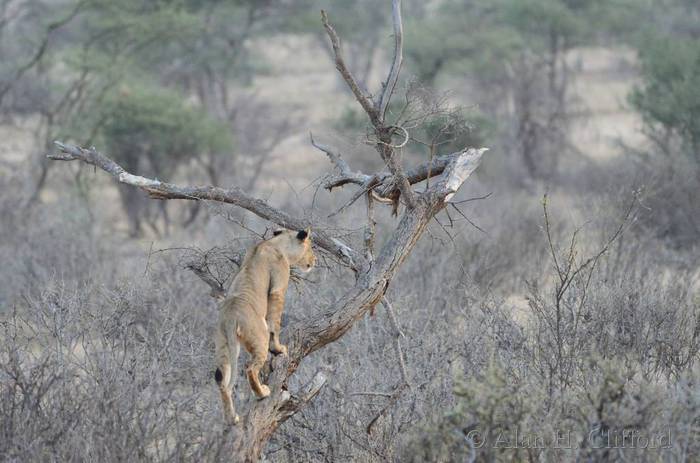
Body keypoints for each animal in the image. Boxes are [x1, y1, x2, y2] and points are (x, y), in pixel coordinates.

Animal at [211, 227, 314, 426]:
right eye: (311, 247)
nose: (315, 260)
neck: (275, 244)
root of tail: (231, 316)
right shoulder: (278, 287)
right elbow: (275, 321)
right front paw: (279, 348)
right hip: (259, 336)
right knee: (250, 368)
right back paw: (262, 393)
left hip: (222, 344)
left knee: (221, 379)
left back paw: (231, 418)